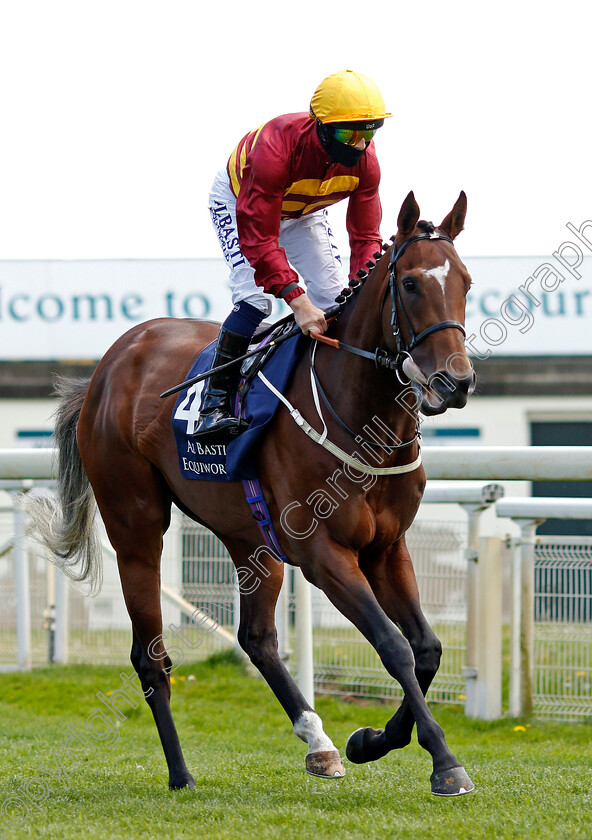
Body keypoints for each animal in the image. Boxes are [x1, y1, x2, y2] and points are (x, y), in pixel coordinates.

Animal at [30, 194, 478, 796]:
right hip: (135, 528)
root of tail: (106, 367)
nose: (456, 382)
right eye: (409, 284)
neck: (362, 419)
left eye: (466, 283)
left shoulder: (387, 548)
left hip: (252, 538)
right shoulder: (324, 554)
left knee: (258, 637)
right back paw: (181, 773)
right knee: (150, 656)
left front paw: (370, 741)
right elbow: (393, 645)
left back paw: (319, 744)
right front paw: (443, 760)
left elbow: (426, 649)